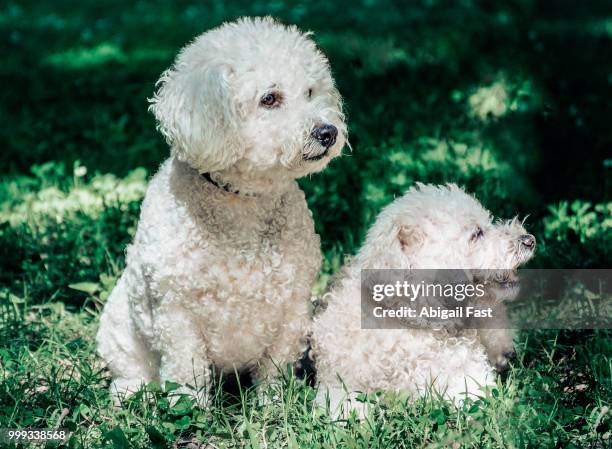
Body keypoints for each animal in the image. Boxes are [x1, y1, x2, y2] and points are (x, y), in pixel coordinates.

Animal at [95, 17, 344, 402]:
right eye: (269, 98)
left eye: (310, 92)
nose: (328, 132)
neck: (241, 201)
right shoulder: (176, 313)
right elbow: (187, 370)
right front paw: (188, 405)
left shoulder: (292, 308)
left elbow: (275, 367)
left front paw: (271, 403)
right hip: (119, 327)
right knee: (132, 367)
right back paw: (130, 391)